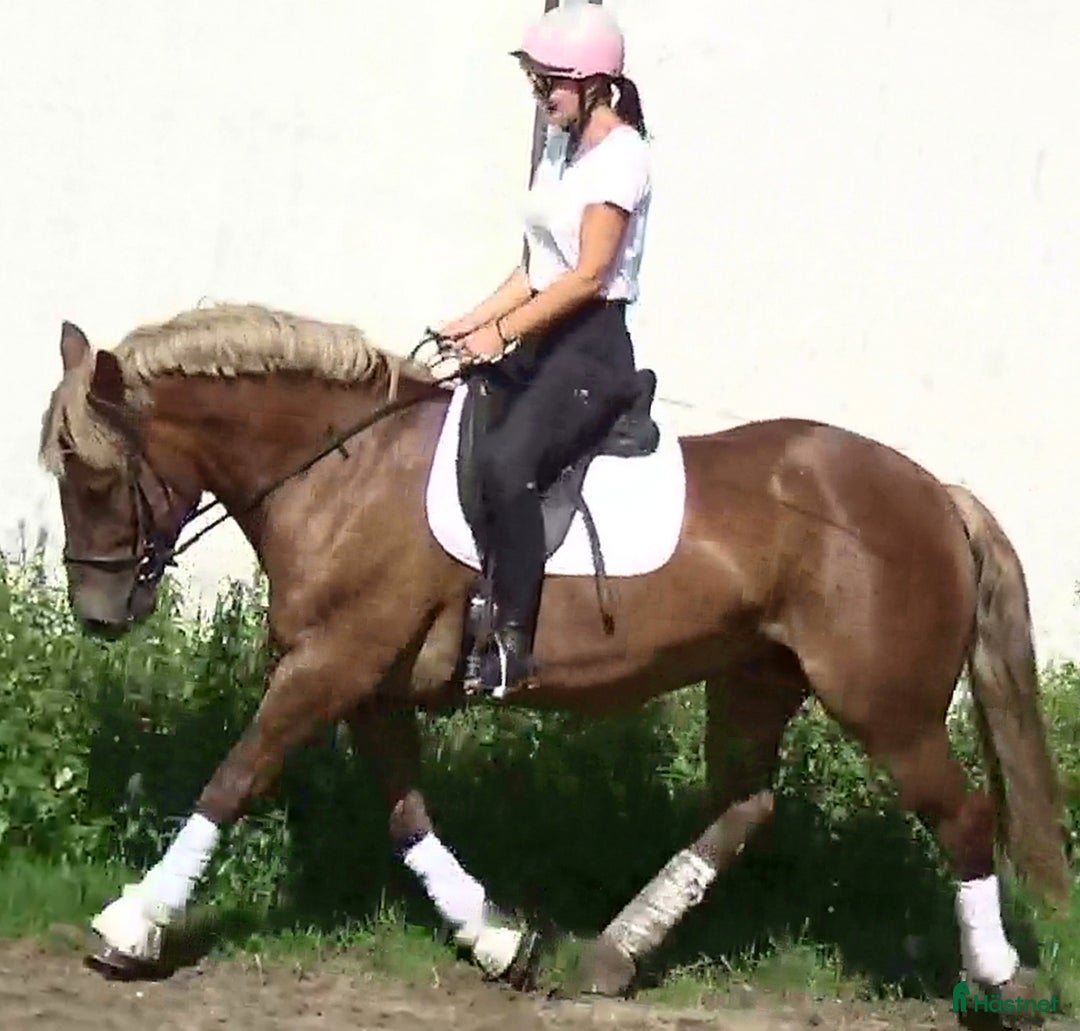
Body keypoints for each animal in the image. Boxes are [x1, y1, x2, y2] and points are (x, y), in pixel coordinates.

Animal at [38, 301, 1069, 1004]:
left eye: (90, 471)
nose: (98, 614)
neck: (342, 473)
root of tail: (936, 492)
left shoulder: (329, 664)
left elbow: (235, 776)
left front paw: (131, 925)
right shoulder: (369, 682)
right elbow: (406, 813)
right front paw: (498, 938)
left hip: (885, 704)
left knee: (964, 818)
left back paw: (999, 975)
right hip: (755, 675)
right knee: (746, 804)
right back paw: (615, 952)